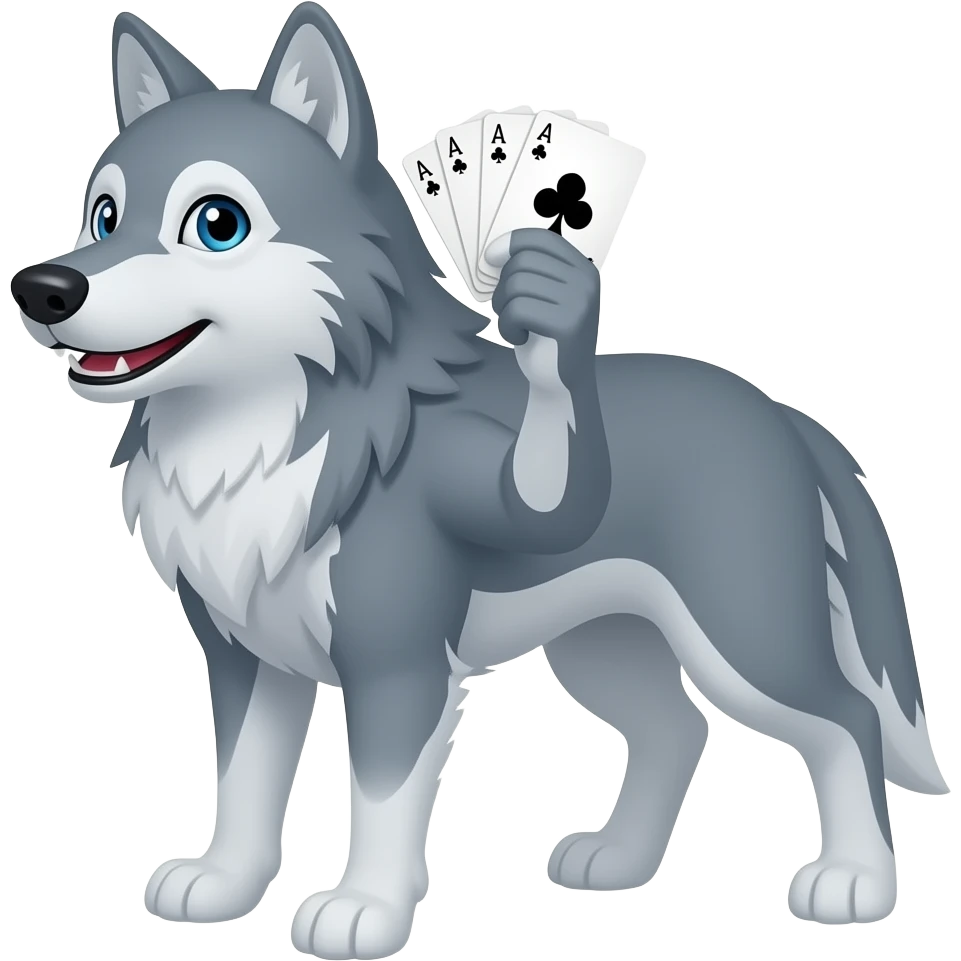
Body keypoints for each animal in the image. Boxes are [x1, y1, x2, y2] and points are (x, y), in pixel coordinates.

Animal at [11, 3, 946, 957]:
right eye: (103, 215)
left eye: (216, 224)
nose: (42, 288)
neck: (261, 434)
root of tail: (779, 410)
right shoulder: (247, 659)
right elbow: (242, 783)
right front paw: (224, 883)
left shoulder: (398, 663)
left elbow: (379, 796)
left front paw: (363, 908)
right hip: (601, 642)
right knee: (676, 727)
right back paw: (618, 860)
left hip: (743, 638)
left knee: (843, 720)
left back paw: (855, 881)